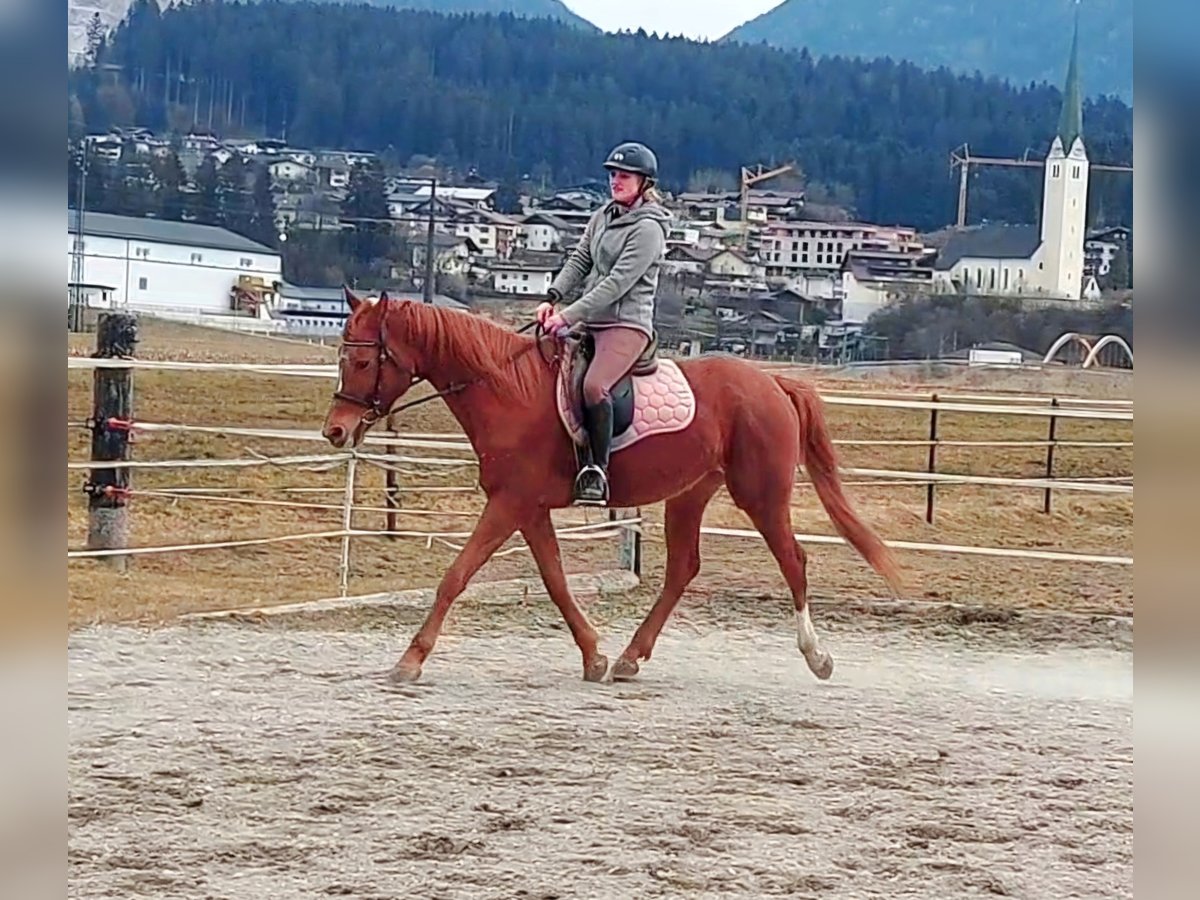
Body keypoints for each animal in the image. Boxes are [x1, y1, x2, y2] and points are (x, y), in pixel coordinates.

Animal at [319, 289, 902, 681]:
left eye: (365, 359)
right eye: (341, 356)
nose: (335, 431)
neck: (506, 388)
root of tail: (774, 382)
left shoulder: (509, 503)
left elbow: (456, 576)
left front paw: (409, 660)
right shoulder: (529, 509)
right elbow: (555, 581)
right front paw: (594, 655)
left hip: (760, 494)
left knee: (793, 561)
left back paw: (817, 656)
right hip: (690, 493)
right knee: (683, 569)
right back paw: (628, 658)